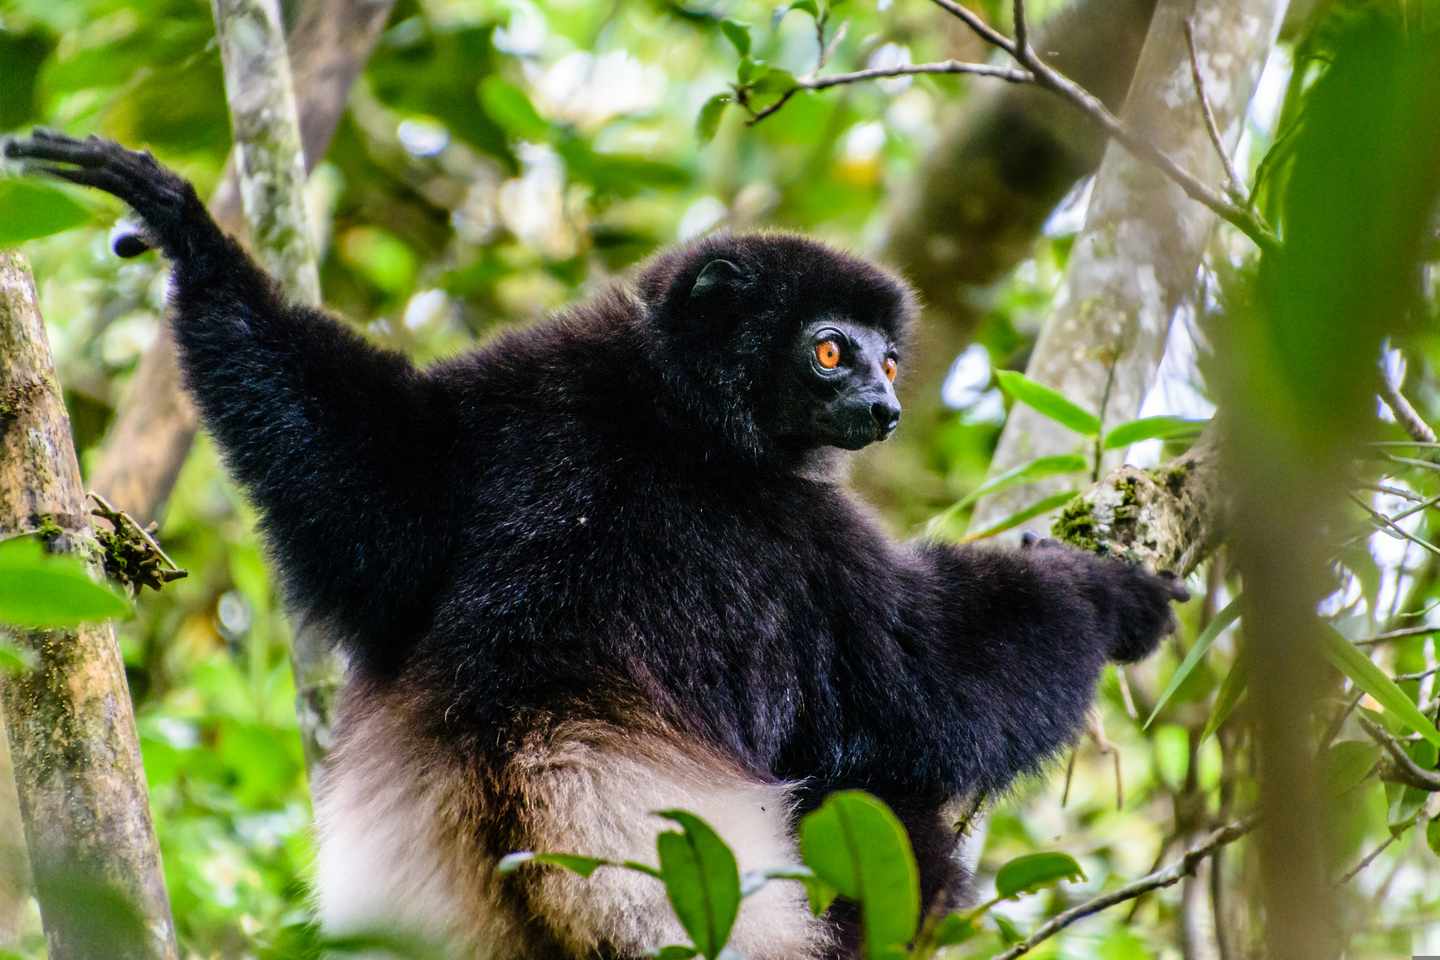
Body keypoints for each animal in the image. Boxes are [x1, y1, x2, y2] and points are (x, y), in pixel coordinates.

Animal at [5, 131, 1187, 959]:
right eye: (832, 352)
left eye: (889, 361)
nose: (884, 408)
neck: (672, 417)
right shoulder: (809, 545)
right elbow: (935, 685)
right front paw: (1107, 597)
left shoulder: (511, 400)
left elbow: (362, 479)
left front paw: (193, 252)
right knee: (899, 821)